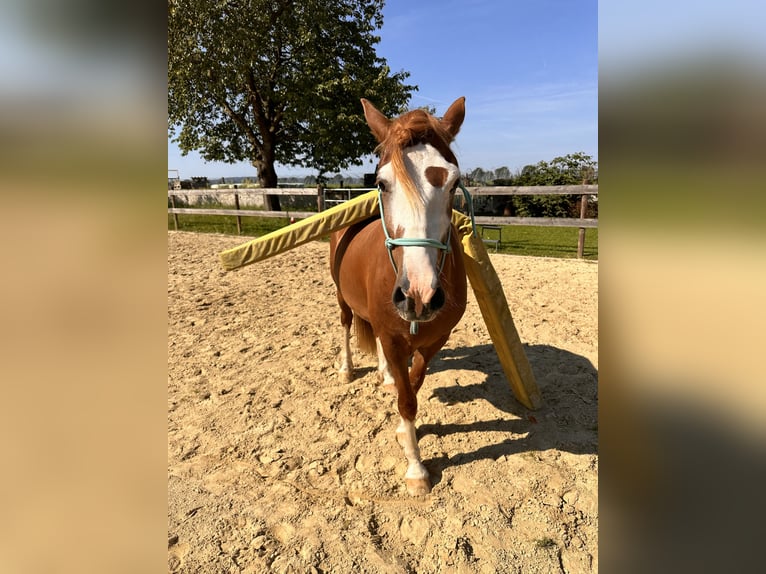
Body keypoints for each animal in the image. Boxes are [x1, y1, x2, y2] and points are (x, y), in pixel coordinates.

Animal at [330, 98, 468, 496]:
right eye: (382, 182)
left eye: (454, 182)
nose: (419, 295)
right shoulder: (393, 337)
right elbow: (407, 401)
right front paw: (416, 470)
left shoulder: (435, 340)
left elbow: (413, 388)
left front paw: (406, 434)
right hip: (342, 299)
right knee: (346, 325)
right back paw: (347, 369)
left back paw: (386, 374)